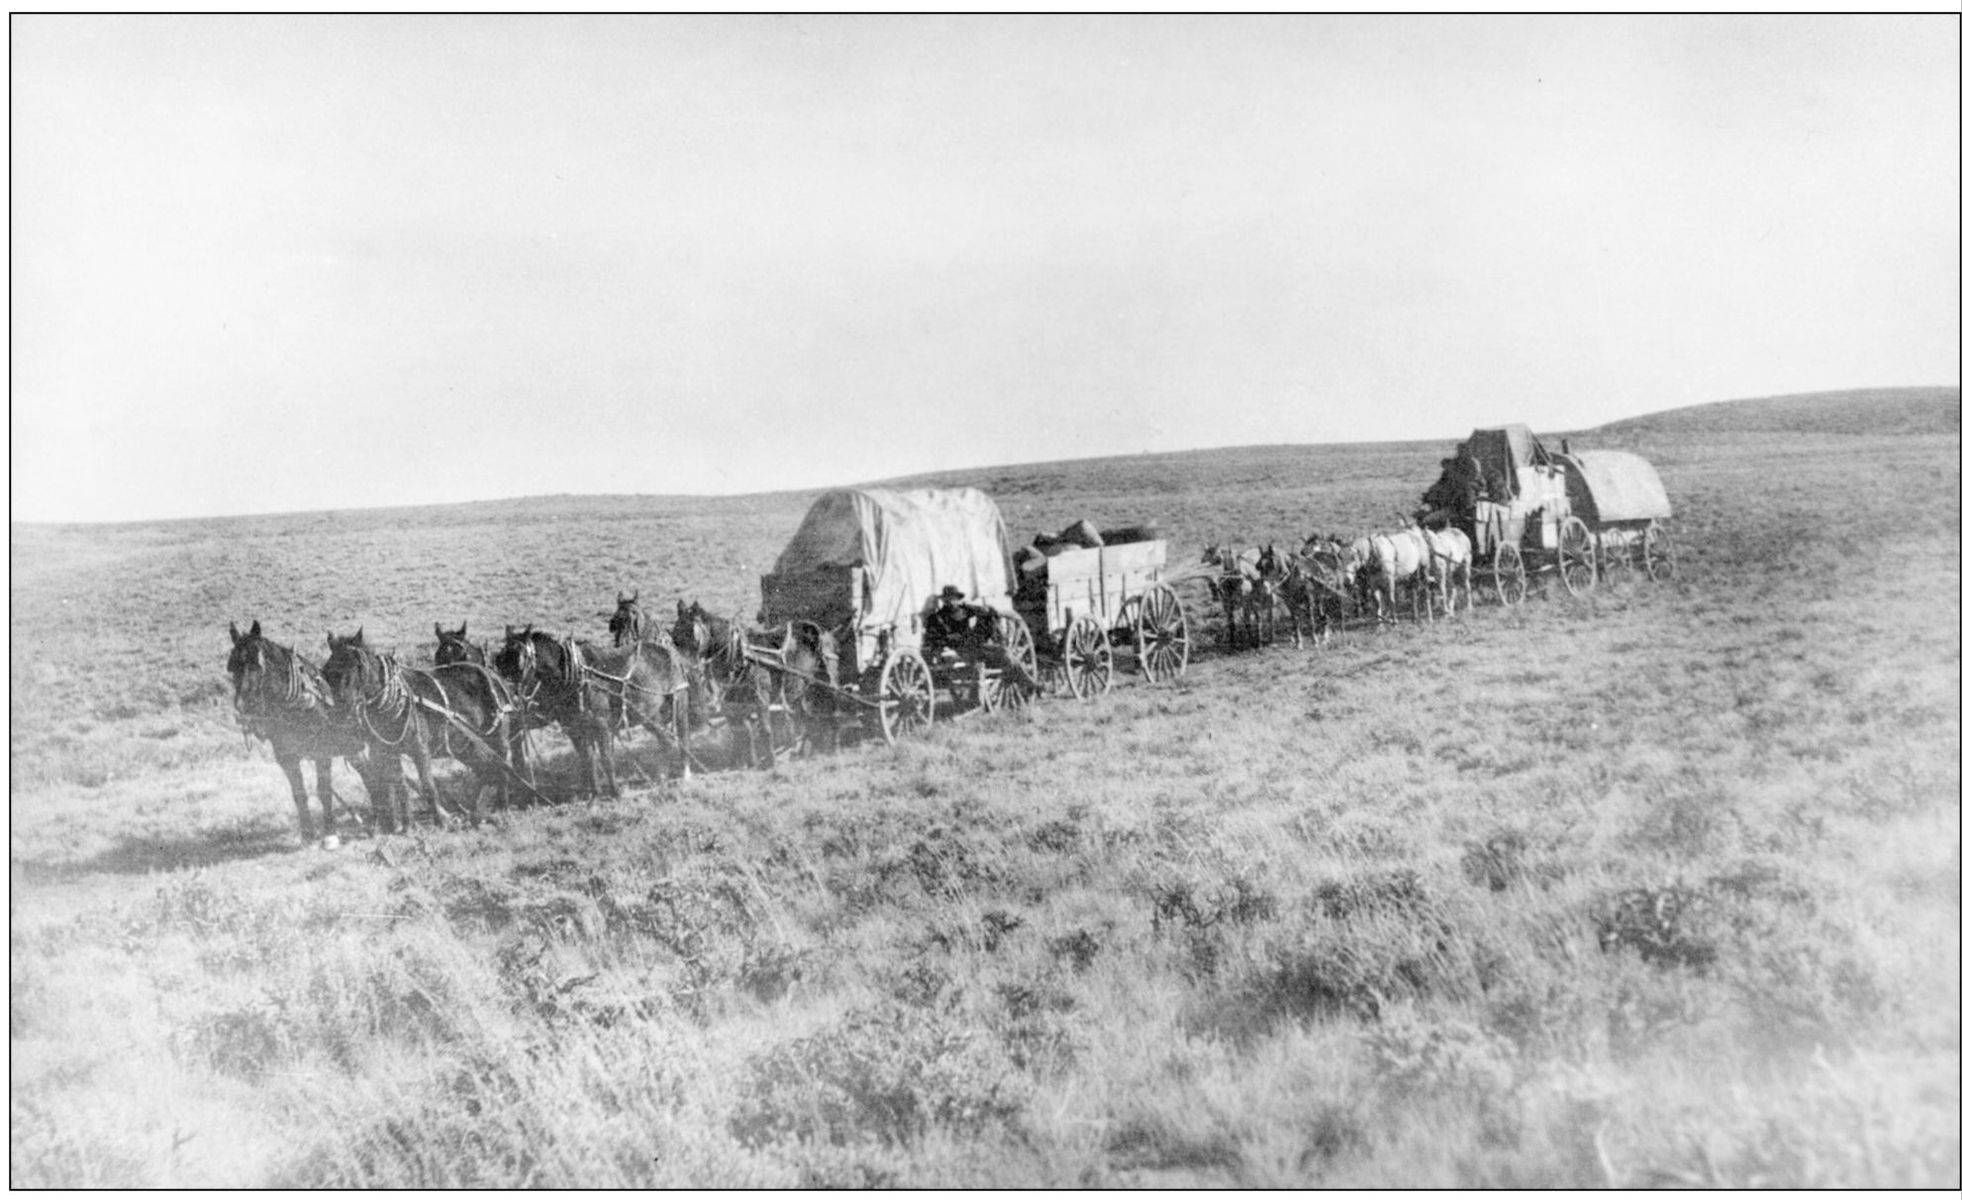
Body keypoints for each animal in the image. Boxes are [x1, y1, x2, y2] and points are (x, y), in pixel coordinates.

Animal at [225, 619, 386, 843]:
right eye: (232, 667)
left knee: (373, 775)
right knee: (369, 773)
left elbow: (324, 791)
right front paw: (308, 834)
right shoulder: (287, 757)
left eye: (257, 664)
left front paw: (330, 834)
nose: (244, 706)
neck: (298, 704)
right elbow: (299, 793)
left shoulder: (322, 753)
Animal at [321, 623, 525, 831]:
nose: (342, 711)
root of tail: (495, 677)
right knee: (485, 771)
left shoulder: (420, 748)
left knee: (502, 770)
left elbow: (428, 786)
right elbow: (400, 786)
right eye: (326, 671)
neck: (395, 699)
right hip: (467, 747)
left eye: (359, 666)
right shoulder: (387, 752)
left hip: (498, 739)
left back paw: (502, 809)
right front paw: (408, 826)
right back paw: (478, 815)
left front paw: (441, 822)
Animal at [494, 623, 694, 792]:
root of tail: (670, 652)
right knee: (665, 741)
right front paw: (594, 794)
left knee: (682, 737)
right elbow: (587, 760)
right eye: (500, 659)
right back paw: (662, 779)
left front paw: (615, 793)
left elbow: (606, 758)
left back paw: (685, 775)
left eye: (519, 659)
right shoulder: (574, 729)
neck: (576, 676)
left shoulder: (601, 724)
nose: (503, 694)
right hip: (649, 715)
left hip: (679, 703)